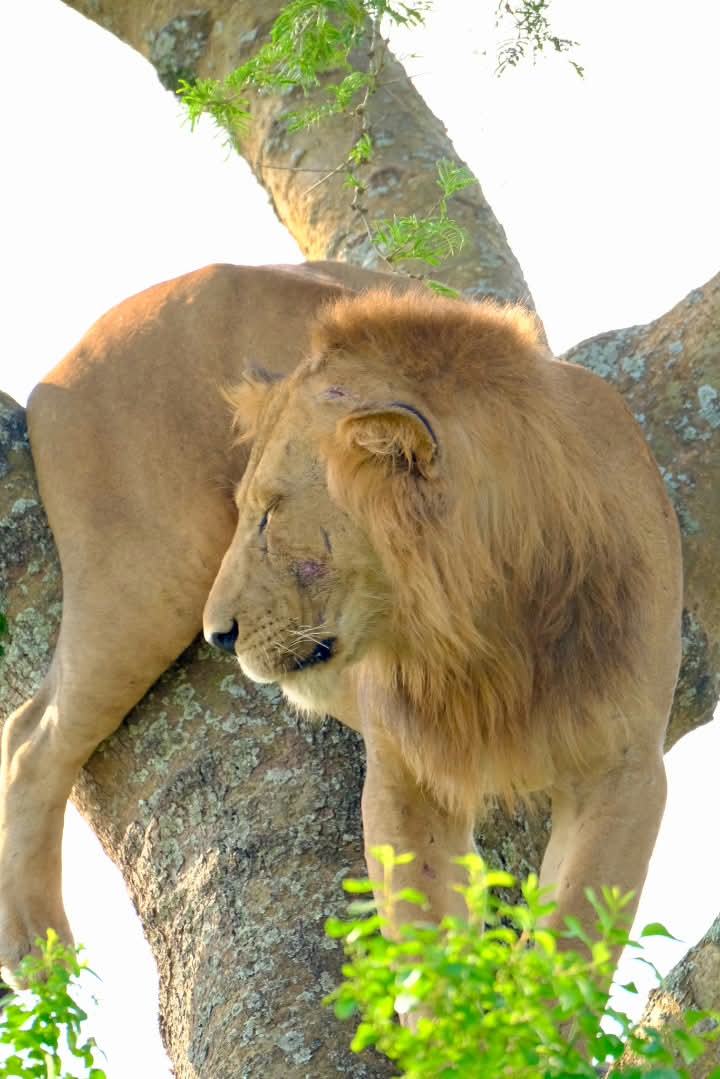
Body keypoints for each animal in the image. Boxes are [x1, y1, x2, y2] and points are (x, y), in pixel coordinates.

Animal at [0, 261, 681, 992]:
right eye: (247, 510)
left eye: (271, 512)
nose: (220, 635)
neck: (492, 628)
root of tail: (67, 357)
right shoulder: (405, 771)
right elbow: (429, 948)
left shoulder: (626, 768)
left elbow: (569, 952)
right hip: (144, 582)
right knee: (31, 737)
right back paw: (36, 949)